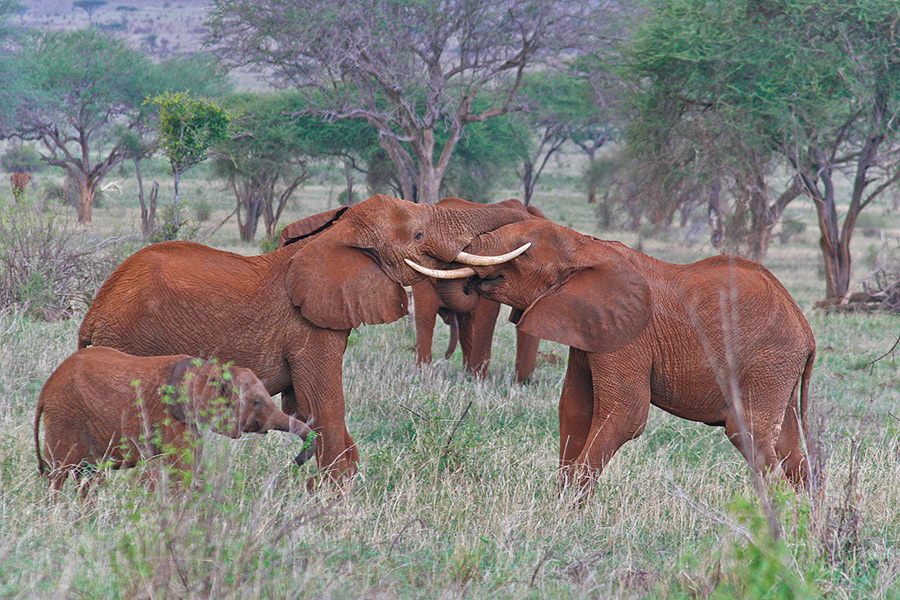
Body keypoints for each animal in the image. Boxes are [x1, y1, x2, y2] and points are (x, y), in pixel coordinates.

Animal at [34, 346, 316, 492]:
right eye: (257, 402)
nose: (296, 461)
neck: (210, 367)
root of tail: (45, 390)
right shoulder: (172, 415)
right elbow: (182, 466)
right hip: (65, 416)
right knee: (59, 473)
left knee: (89, 475)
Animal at [412, 199, 544, 382]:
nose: (523, 382)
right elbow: (487, 314)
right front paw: (478, 380)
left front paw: (474, 377)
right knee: (426, 316)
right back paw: (425, 374)